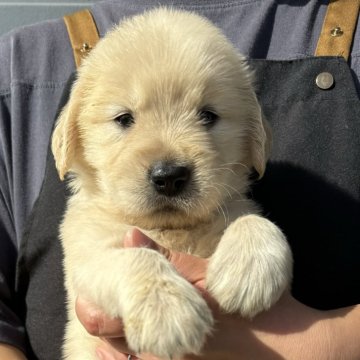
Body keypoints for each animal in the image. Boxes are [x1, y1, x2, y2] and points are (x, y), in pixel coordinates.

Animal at [51, 7, 292, 358]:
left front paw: (250, 268)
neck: (170, 229)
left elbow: (252, 218)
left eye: (208, 115)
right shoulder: (87, 257)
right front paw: (167, 308)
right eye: (124, 118)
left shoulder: (232, 206)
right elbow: (137, 256)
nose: (169, 177)